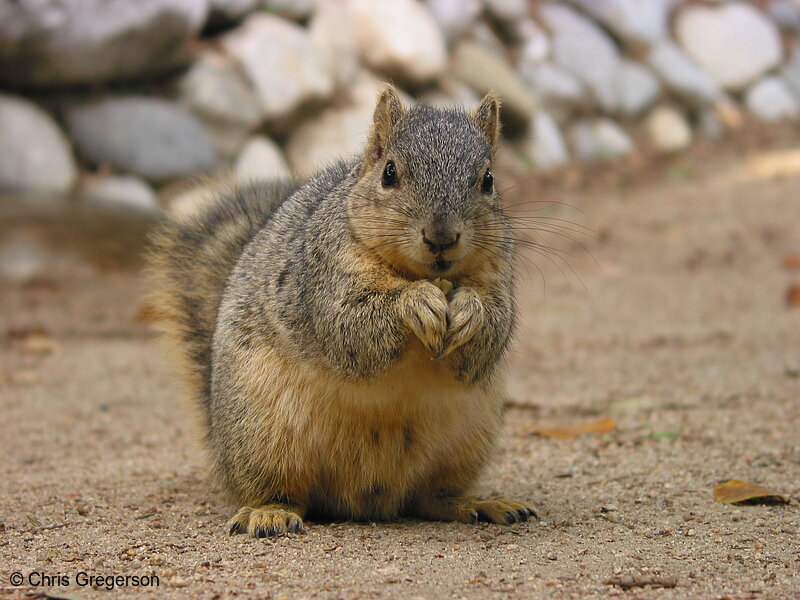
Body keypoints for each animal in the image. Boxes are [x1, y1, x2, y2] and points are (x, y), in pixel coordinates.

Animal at [148, 85, 536, 540]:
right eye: (389, 173)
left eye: (488, 180)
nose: (441, 237)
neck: (422, 274)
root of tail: (363, 500)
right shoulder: (322, 278)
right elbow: (349, 326)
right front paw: (415, 302)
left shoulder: (498, 275)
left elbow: (492, 332)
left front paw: (470, 311)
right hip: (260, 434)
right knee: (277, 489)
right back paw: (269, 512)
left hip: (468, 440)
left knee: (432, 497)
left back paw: (479, 503)